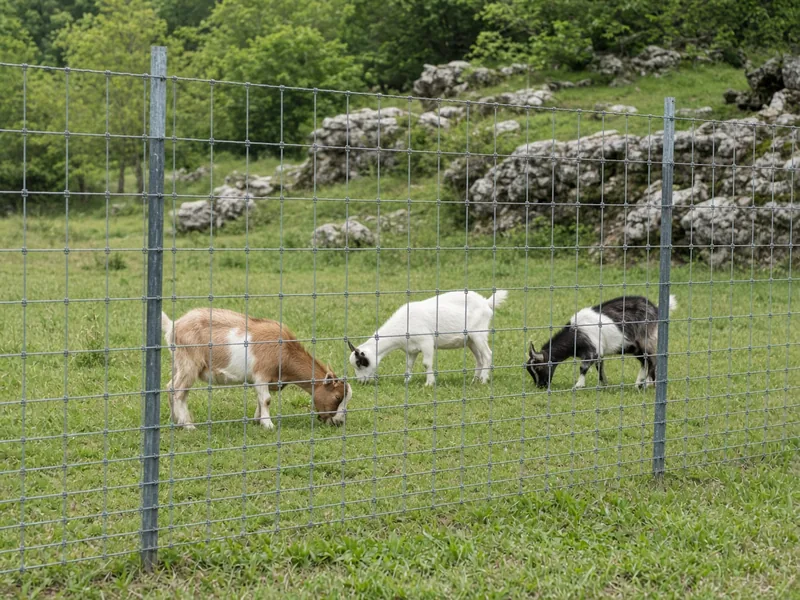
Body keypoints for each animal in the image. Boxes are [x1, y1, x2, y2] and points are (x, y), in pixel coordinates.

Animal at [162, 308, 351, 430]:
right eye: (337, 396)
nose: (339, 422)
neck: (285, 352)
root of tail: (173, 325)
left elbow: (260, 400)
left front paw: (257, 420)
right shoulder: (261, 375)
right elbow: (266, 399)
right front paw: (268, 424)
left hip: (179, 363)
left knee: (172, 388)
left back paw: (175, 420)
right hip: (189, 363)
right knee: (178, 391)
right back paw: (188, 426)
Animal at [348, 290, 508, 386]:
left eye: (361, 362)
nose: (361, 381)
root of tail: (486, 302)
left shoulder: (426, 341)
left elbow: (426, 363)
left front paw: (429, 383)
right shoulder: (411, 349)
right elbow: (408, 365)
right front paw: (406, 381)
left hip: (479, 333)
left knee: (487, 355)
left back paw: (483, 380)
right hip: (470, 340)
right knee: (479, 358)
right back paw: (474, 380)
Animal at [526, 295, 677, 390]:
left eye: (538, 368)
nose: (541, 386)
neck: (575, 333)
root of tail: (656, 309)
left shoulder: (592, 350)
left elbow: (583, 368)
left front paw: (579, 385)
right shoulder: (598, 352)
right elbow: (600, 367)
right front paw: (604, 384)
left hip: (647, 341)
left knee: (653, 360)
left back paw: (648, 384)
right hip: (635, 347)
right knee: (645, 362)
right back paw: (639, 384)